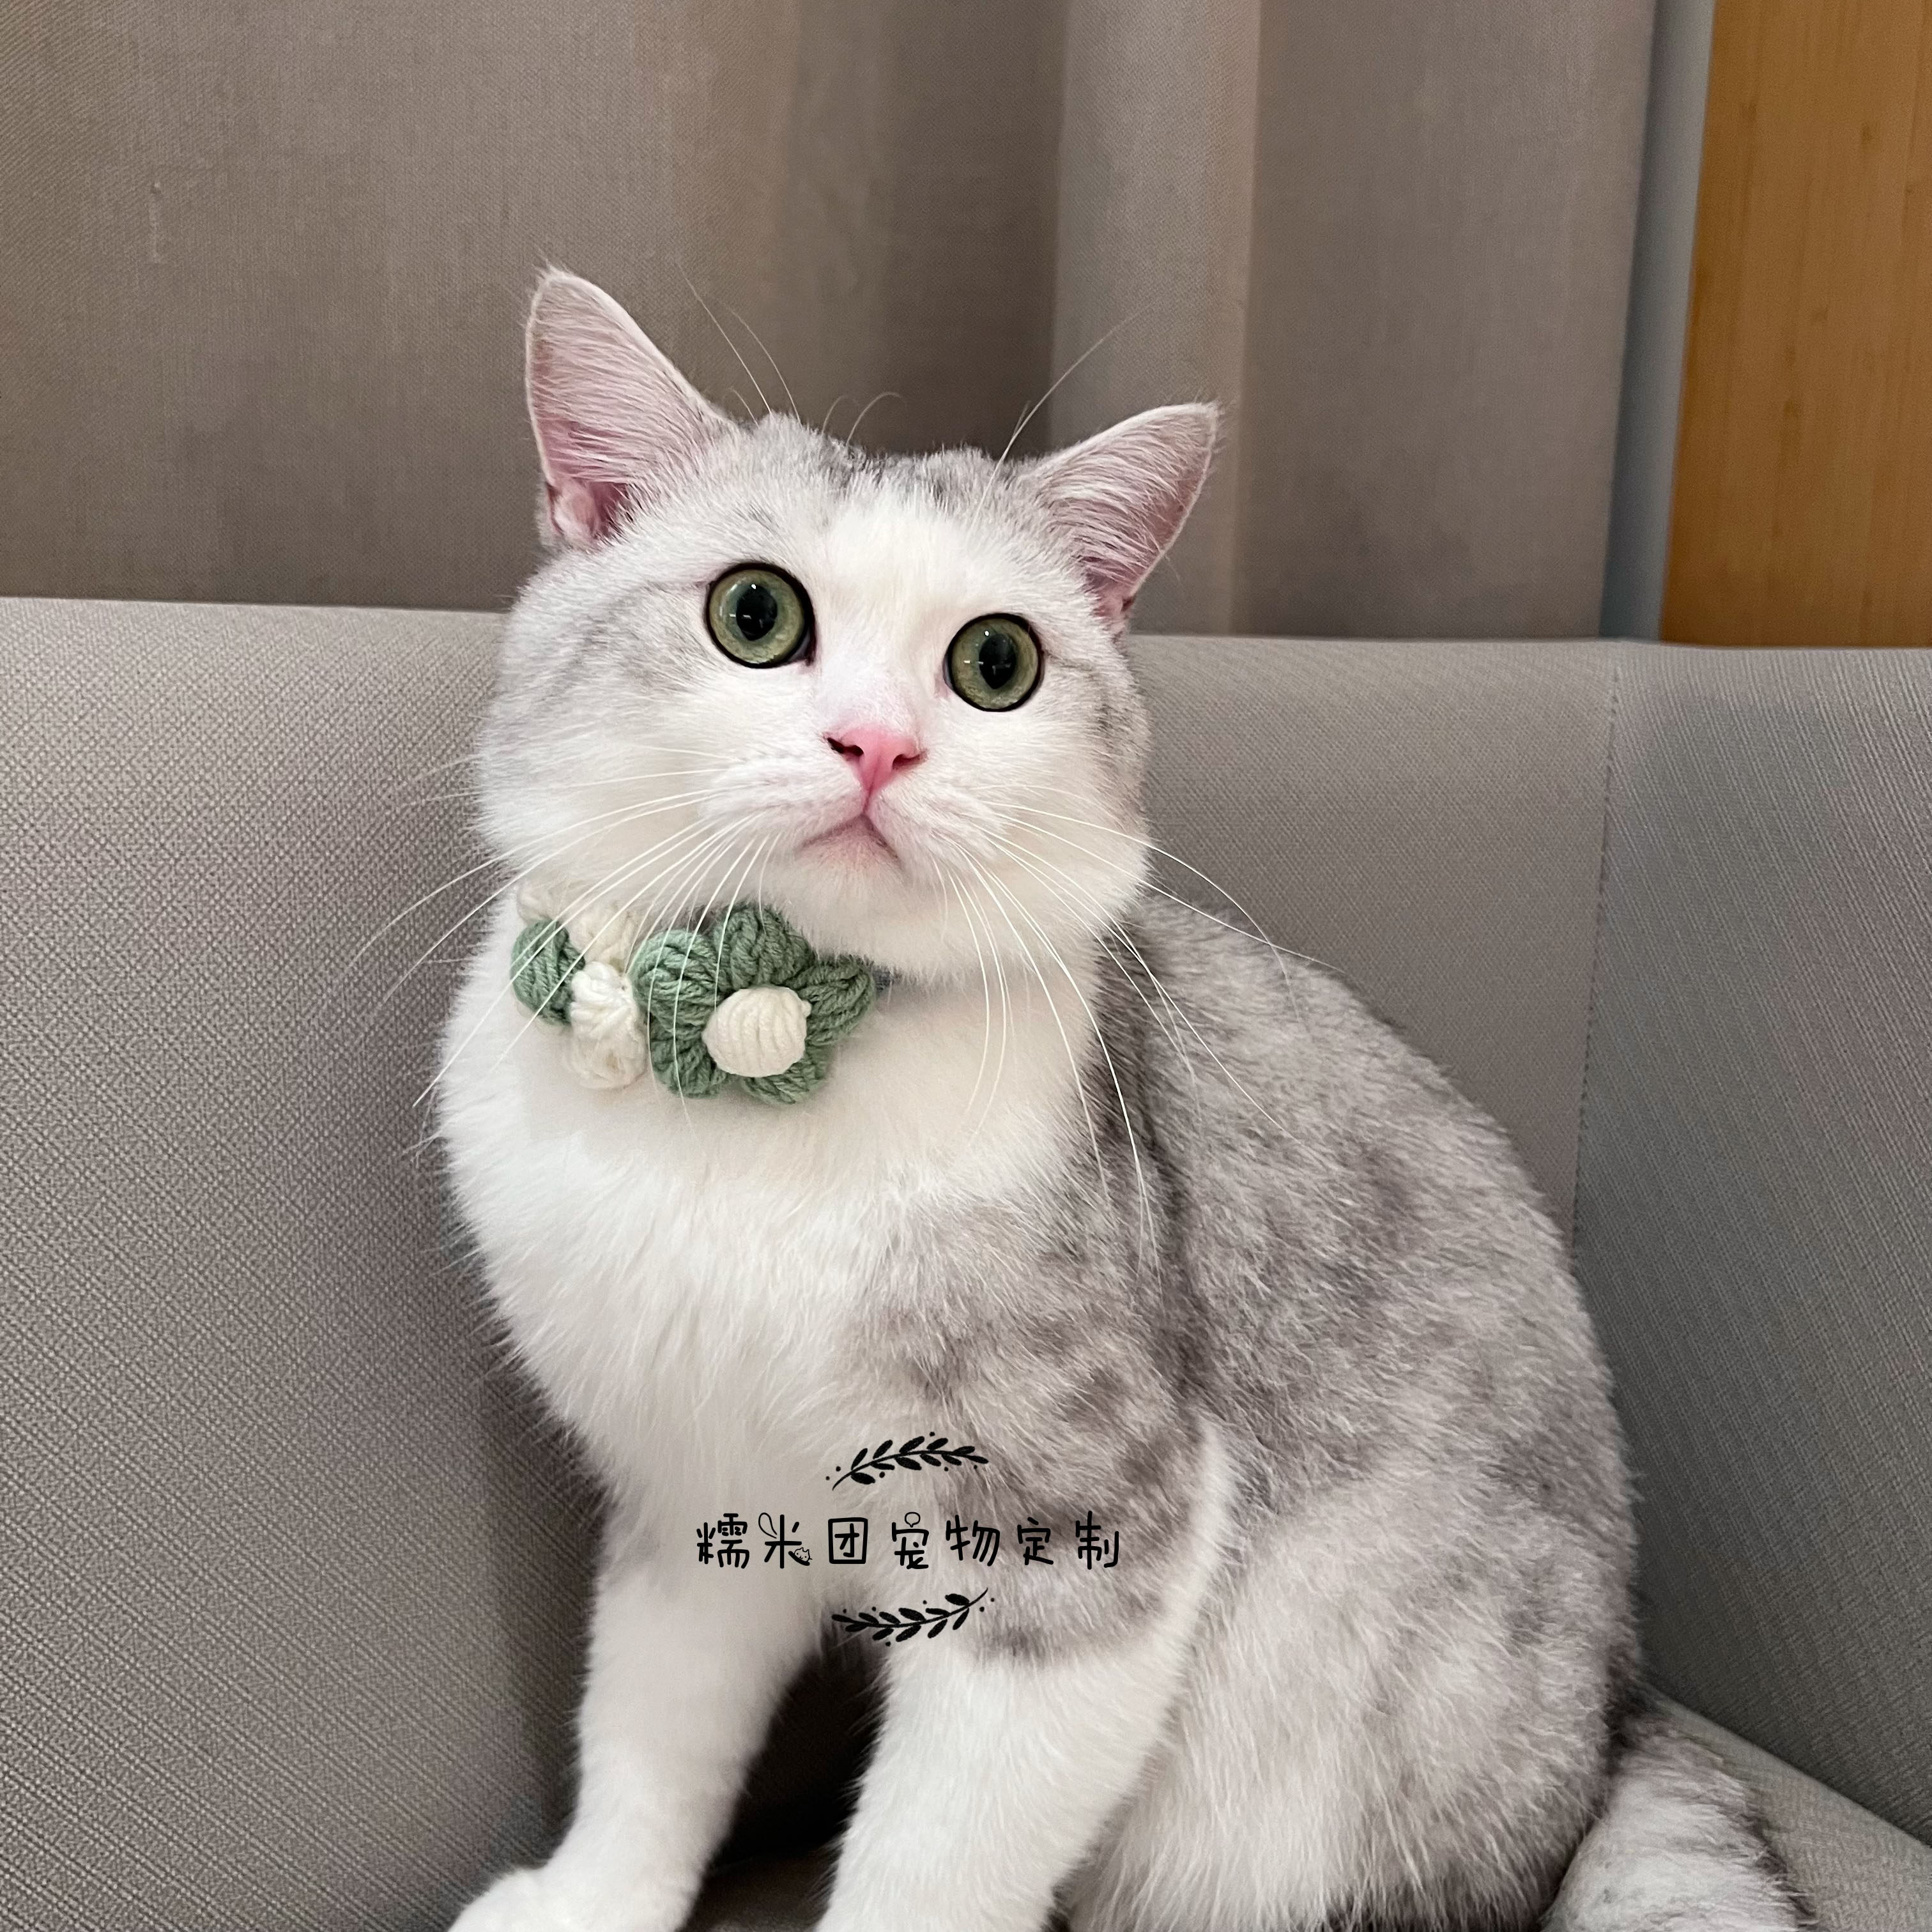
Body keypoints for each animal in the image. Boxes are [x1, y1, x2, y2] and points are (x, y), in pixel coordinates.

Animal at [434, 269, 1805, 1932]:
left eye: (996, 665)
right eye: (753, 614)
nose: (879, 744)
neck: (769, 1087)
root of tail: (1620, 1716)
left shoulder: (1089, 1530)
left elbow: (931, 1864)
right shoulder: (689, 1495)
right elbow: (650, 1735)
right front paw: (588, 1897)